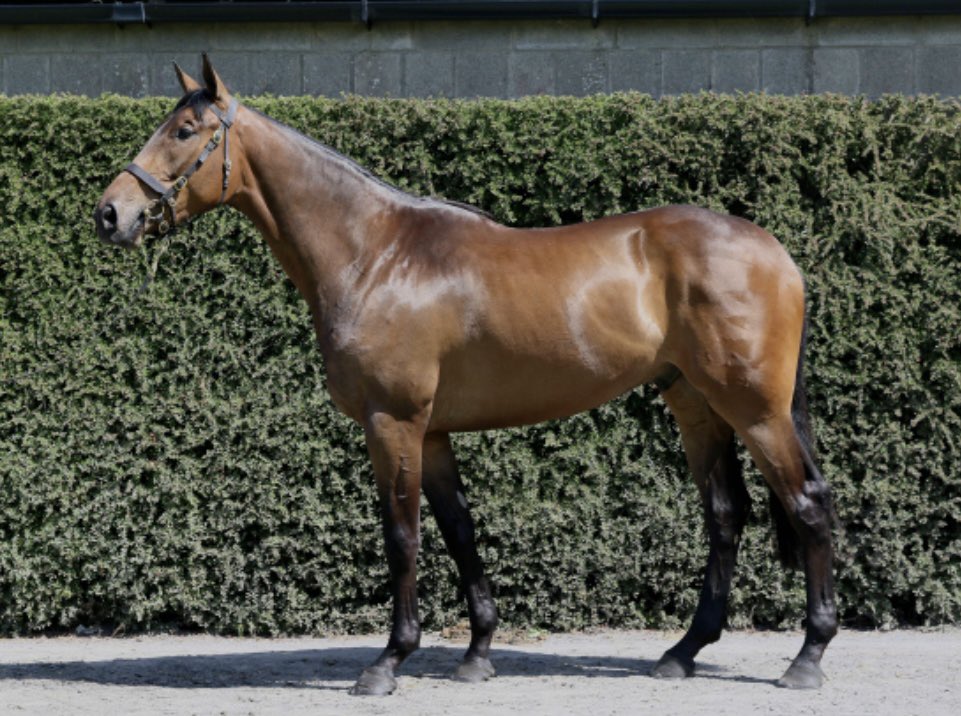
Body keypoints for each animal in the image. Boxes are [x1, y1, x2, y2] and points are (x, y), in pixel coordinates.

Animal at [94, 58, 836, 696]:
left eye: (184, 131)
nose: (111, 214)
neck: (375, 255)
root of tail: (776, 253)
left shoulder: (392, 423)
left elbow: (403, 537)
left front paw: (388, 661)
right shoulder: (431, 433)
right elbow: (459, 531)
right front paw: (477, 652)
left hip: (755, 410)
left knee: (808, 505)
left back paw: (806, 657)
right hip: (696, 404)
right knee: (725, 515)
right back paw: (683, 652)